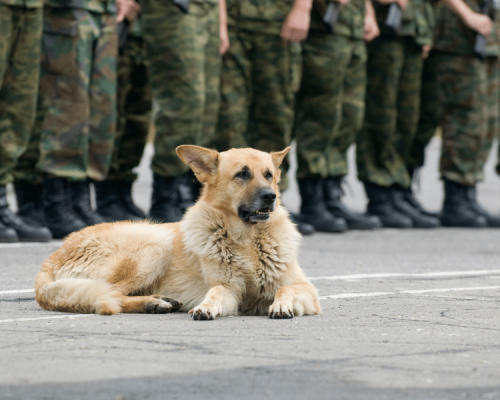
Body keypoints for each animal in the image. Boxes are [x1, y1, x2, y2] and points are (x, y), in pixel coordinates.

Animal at [37, 145, 322, 320]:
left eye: (269, 175)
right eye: (242, 174)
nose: (270, 197)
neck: (247, 242)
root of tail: (52, 257)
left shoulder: (306, 290)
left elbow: (286, 290)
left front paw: (282, 303)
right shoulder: (228, 290)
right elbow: (215, 293)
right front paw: (205, 307)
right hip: (154, 246)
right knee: (110, 294)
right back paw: (153, 303)